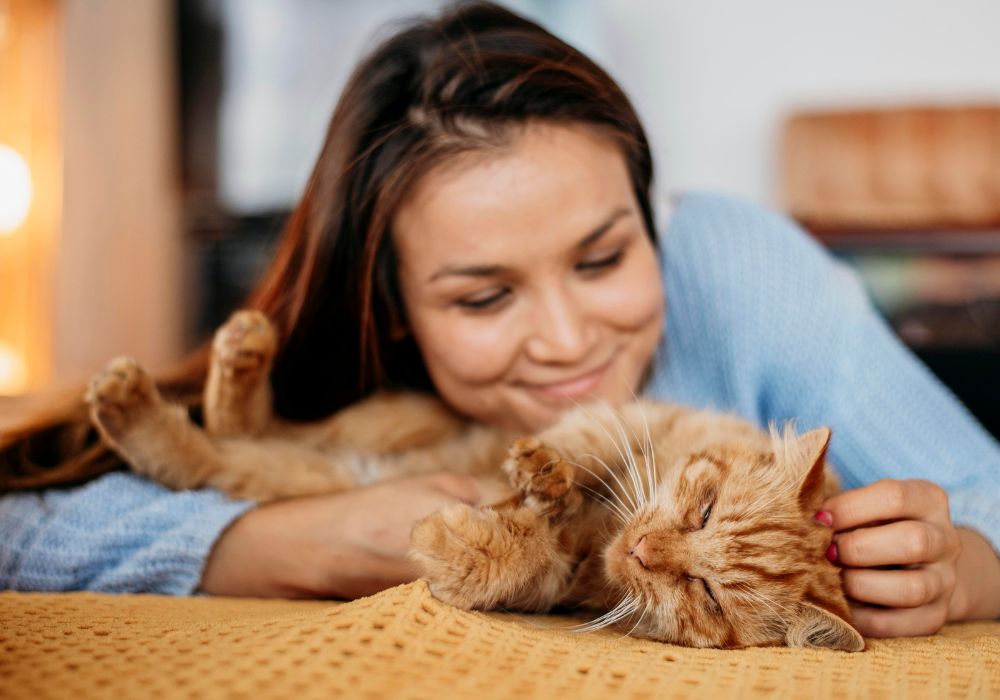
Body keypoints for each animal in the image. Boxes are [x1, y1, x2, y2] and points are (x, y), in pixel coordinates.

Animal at [86, 310, 864, 652]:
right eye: (702, 508)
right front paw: (539, 473)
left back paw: (140, 402)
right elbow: (573, 449)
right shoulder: (620, 415)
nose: (645, 553)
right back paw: (235, 351)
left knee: (207, 452)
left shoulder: (563, 578)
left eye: (706, 596)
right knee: (243, 422)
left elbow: (517, 557)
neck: (606, 527)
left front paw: (462, 540)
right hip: (384, 420)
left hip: (298, 470)